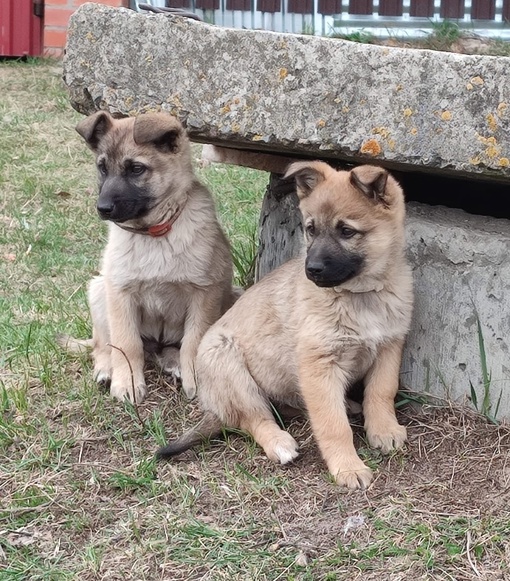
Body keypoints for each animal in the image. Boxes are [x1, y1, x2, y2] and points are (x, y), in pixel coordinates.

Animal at [62, 112, 239, 404]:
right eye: (102, 168)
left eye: (136, 169)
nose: (102, 208)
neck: (155, 233)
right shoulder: (120, 292)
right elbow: (126, 344)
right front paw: (127, 383)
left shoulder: (205, 293)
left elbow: (193, 341)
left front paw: (195, 378)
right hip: (99, 290)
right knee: (102, 344)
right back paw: (106, 369)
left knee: (168, 349)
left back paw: (174, 363)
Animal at [158, 160, 414, 490]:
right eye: (310, 229)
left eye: (346, 231)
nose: (312, 269)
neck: (359, 295)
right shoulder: (318, 366)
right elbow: (333, 425)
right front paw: (348, 467)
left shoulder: (389, 347)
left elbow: (381, 393)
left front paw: (383, 429)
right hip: (230, 367)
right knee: (255, 418)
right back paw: (279, 442)